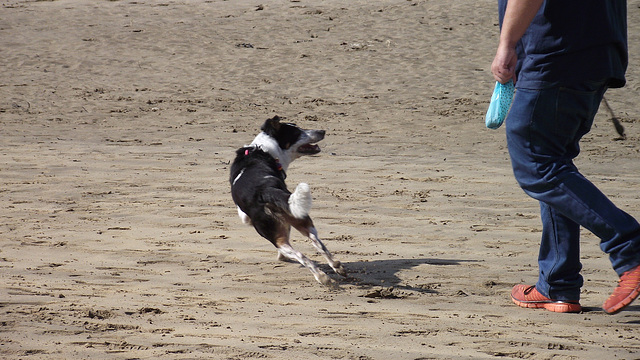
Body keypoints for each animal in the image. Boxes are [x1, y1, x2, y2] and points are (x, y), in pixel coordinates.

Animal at [230, 115, 348, 284]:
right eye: (298, 132)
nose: (322, 131)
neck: (264, 149)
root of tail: (265, 190)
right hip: (300, 217)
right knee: (317, 242)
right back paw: (337, 266)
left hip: (275, 236)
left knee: (299, 255)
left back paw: (321, 277)